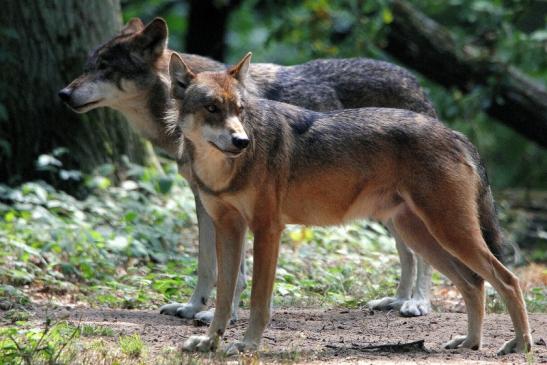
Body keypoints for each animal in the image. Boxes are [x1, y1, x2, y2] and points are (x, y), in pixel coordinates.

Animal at [58, 17, 436, 322]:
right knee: (408, 253)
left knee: (424, 254)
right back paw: (396, 299)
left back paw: (417, 303)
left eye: (105, 67)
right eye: (88, 65)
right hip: (385, 208)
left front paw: (225, 314)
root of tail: (415, 81)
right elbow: (207, 264)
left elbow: (233, 269)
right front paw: (193, 307)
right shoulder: (205, 200)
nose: (63, 93)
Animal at [170, 52, 532, 354]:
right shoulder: (228, 229)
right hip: (422, 236)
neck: (224, 170)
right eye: (212, 108)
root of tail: (455, 134)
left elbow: (258, 300)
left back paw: (519, 345)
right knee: (473, 284)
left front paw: (247, 346)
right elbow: (223, 296)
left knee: (507, 280)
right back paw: (470, 342)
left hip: (451, 233)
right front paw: (209, 342)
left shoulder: (268, 231)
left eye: (240, 110)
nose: (241, 141)